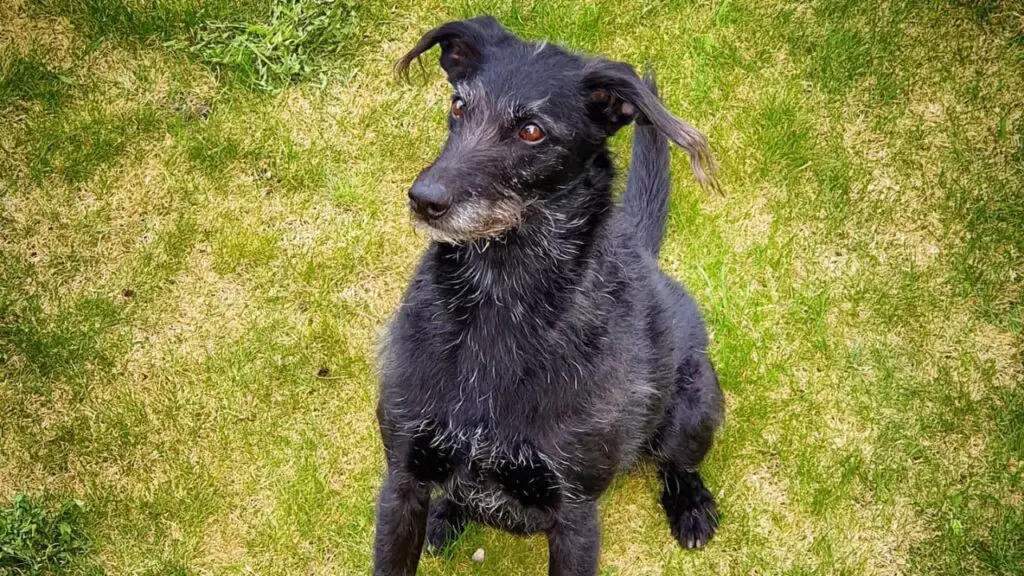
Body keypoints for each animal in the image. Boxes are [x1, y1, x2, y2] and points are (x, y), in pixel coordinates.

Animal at [374, 15, 720, 569]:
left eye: (532, 131)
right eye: (459, 106)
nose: (424, 199)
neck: (497, 298)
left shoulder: (575, 513)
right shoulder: (403, 478)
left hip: (693, 410)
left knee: (677, 462)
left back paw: (689, 503)